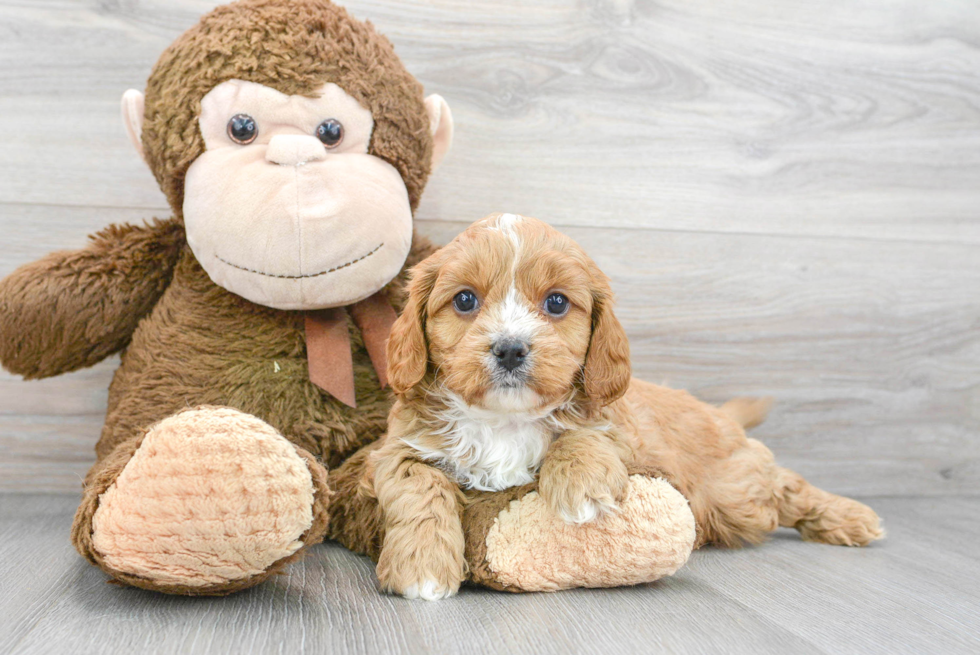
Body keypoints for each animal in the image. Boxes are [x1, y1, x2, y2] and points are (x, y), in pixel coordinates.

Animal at [366, 214, 880, 600]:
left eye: (557, 303)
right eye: (465, 300)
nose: (510, 349)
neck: (503, 420)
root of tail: (716, 412)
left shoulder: (618, 427)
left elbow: (584, 432)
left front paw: (583, 486)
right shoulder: (399, 449)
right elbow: (420, 488)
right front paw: (423, 567)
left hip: (734, 493)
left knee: (784, 487)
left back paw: (850, 518)